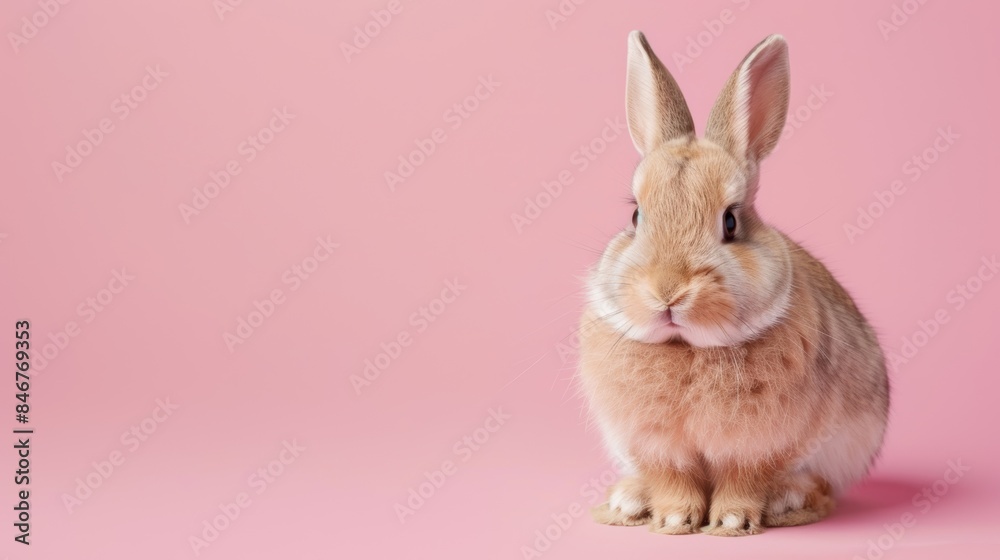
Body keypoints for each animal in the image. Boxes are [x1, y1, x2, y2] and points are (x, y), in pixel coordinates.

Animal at [578, 31, 890, 536]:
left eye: (730, 222)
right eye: (635, 216)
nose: (668, 291)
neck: (688, 348)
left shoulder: (762, 446)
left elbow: (745, 480)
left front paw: (730, 520)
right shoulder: (657, 447)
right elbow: (673, 480)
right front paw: (674, 519)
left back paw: (786, 500)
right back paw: (629, 502)